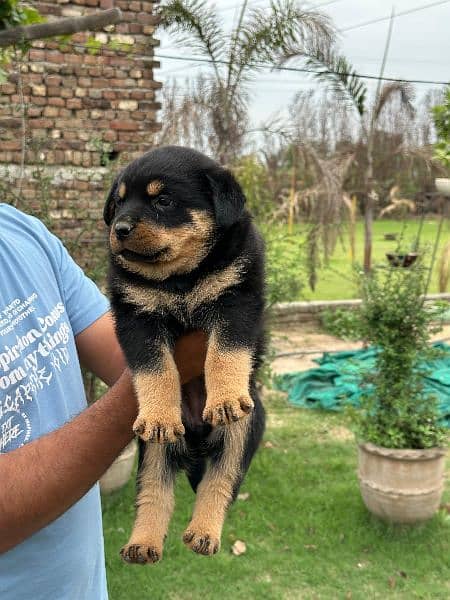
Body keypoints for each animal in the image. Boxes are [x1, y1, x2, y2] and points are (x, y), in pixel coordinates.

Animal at [104, 145, 268, 564]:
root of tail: (194, 442)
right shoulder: (137, 317)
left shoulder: (236, 299)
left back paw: (203, 533)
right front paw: (159, 413)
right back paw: (142, 544)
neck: (179, 278)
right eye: (119, 202)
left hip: (242, 429)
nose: (119, 229)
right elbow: (155, 369)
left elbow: (225, 353)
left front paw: (224, 397)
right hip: (153, 449)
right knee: (154, 492)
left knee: (218, 482)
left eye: (163, 201)